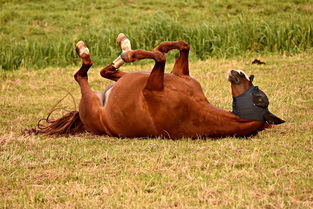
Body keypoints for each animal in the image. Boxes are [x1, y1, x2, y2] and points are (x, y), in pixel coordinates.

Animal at [35, 34, 284, 139]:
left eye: (260, 98)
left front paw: (132, 54)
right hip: (122, 79)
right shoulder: (179, 75)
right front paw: (156, 47)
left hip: (89, 100)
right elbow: (179, 46)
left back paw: (91, 51)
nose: (238, 72)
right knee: (107, 72)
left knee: (82, 74)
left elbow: (160, 58)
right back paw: (121, 46)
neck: (195, 109)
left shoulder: (151, 88)